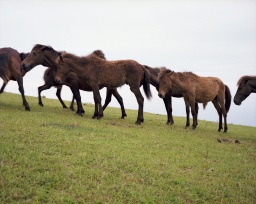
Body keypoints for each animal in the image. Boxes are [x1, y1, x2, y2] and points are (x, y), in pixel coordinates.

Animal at [21, 44, 152, 124]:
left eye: (34, 53)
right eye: (56, 67)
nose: (23, 65)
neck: (88, 66)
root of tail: (141, 65)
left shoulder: (90, 84)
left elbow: (95, 98)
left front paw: (97, 115)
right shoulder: (90, 86)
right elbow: (92, 98)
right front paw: (93, 114)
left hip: (133, 87)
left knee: (140, 99)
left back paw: (138, 120)